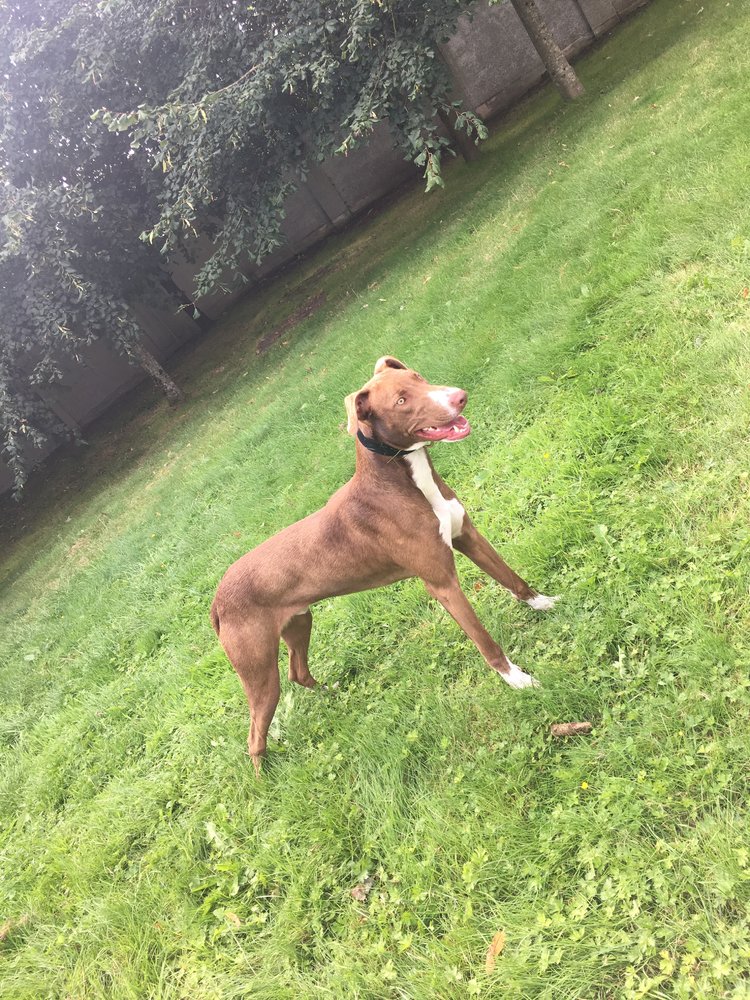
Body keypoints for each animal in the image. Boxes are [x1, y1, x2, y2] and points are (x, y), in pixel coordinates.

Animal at [211, 356, 557, 771]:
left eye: (417, 377)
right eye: (401, 401)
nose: (458, 396)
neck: (401, 482)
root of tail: (216, 601)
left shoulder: (468, 537)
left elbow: (513, 580)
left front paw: (545, 603)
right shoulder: (442, 582)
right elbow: (485, 642)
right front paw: (518, 680)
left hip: (299, 623)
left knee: (299, 672)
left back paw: (333, 692)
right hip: (258, 670)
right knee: (254, 734)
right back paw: (266, 778)